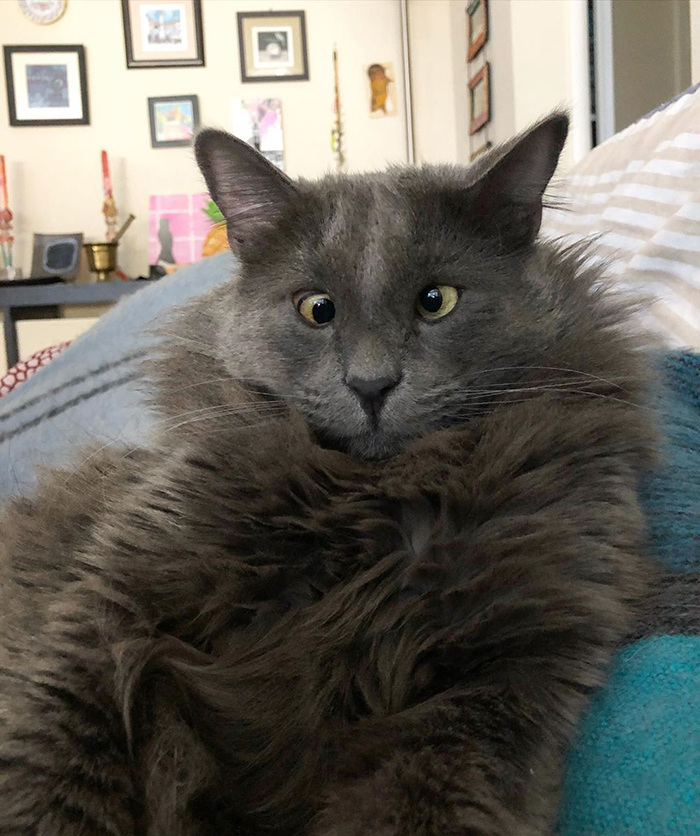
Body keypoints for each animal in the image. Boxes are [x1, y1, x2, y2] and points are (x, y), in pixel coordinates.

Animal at [0, 114, 660, 832]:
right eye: (316, 309)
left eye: (437, 301)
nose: (372, 385)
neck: (370, 500)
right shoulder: (112, 598)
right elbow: (54, 756)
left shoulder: (508, 670)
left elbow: (426, 803)